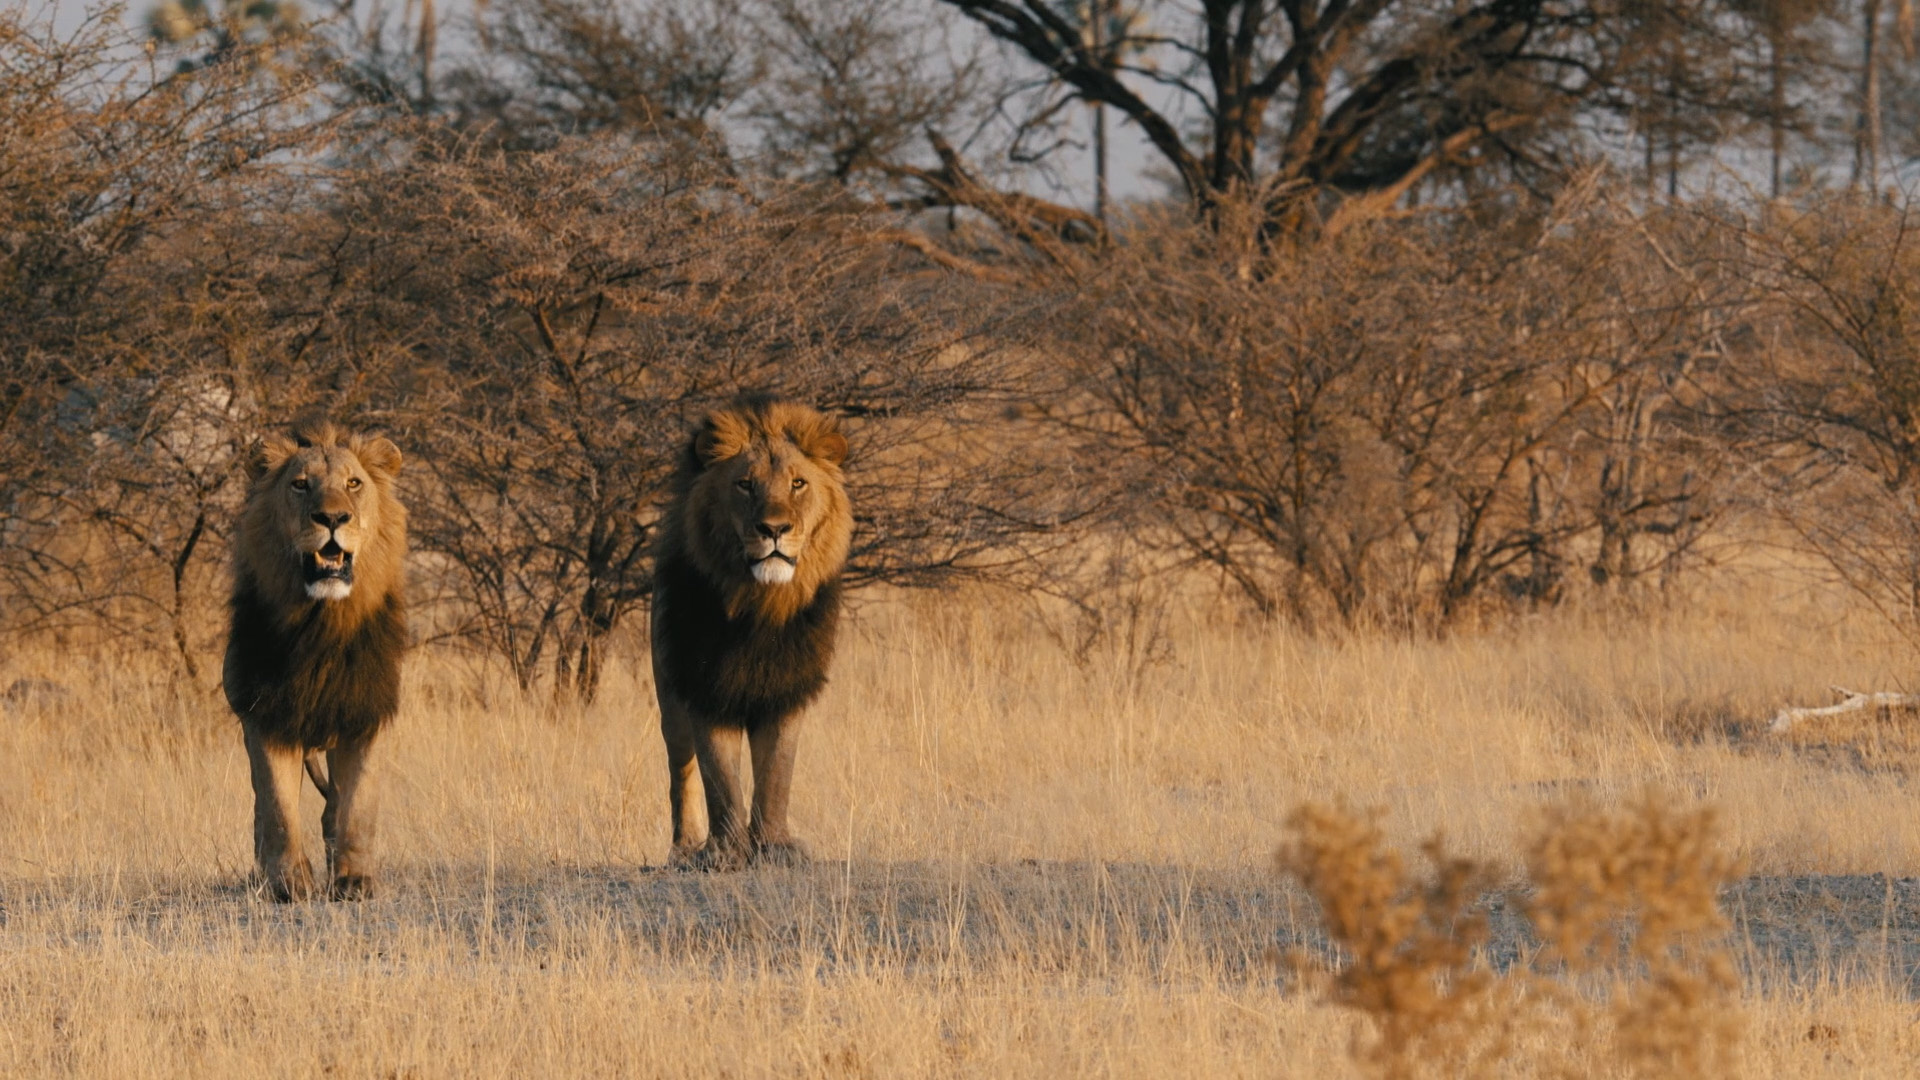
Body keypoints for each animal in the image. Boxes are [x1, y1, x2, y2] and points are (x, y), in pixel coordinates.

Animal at [224, 417, 408, 901]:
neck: (321, 623)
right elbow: (277, 810)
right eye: (300, 484)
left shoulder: (366, 715)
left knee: (333, 808)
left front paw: (355, 880)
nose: (332, 518)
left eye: (353, 484)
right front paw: (290, 885)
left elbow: (358, 808)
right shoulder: (265, 717)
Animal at [650, 397, 852, 869]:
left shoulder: (785, 690)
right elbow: (719, 778)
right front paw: (725, 851)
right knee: (680, 772)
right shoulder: (705, 687)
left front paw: (775, 845)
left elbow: (776, 773)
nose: (774, 529)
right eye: (744, 485)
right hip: (669, 697)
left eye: (798, 484)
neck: (759, 604)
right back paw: (684, 848)